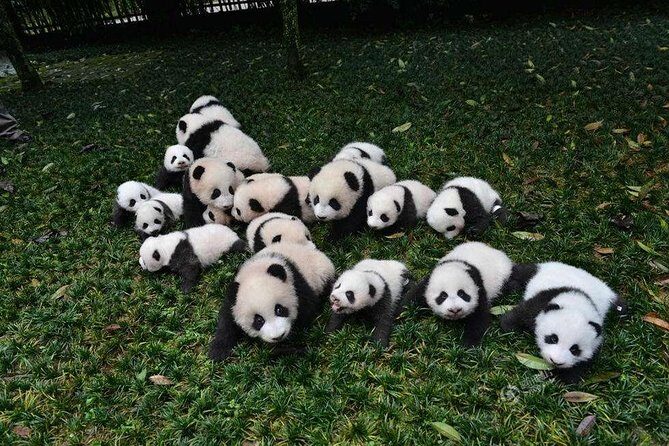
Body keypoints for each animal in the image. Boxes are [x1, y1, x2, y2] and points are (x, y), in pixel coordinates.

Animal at [499, 262, 628, 383]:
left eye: (574, 349)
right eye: (553, 338)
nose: (556, 361)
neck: (578, 304)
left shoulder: (596, 340)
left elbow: (583, 362)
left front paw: (564, 378)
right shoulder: (544, 300)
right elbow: (523, 313)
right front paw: (507, 327)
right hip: (539, 270)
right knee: (521, 273)